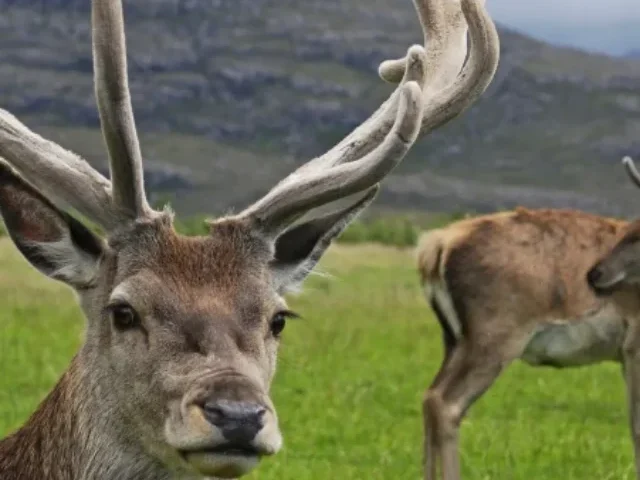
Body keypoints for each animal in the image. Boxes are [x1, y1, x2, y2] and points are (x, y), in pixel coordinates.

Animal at [415, 155, 640, 480]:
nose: (596, 275)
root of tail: (435, 246)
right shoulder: (634, 346)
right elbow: (636, 426)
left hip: (454, 340)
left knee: (429, 396)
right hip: (494, 341)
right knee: (446, 403)